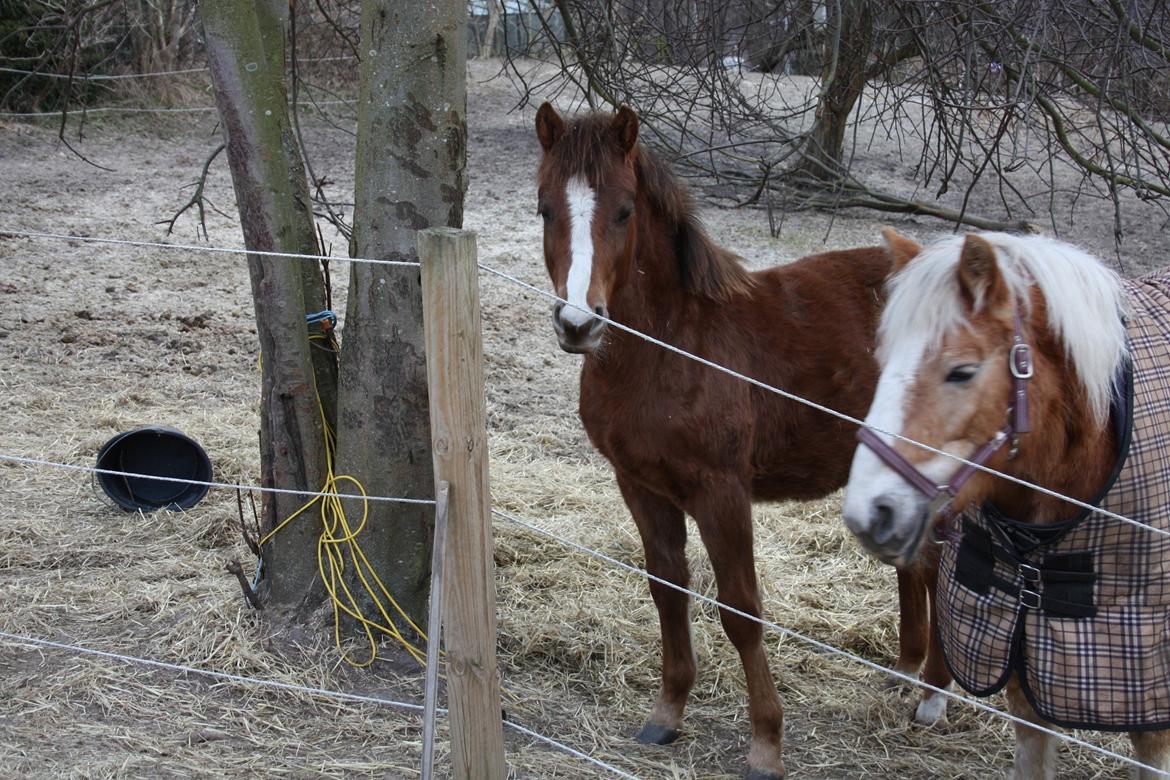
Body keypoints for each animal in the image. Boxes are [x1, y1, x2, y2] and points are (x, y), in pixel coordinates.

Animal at [538, 102, 950, 776]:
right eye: (545, 208)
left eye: (623, 211)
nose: (579, 324)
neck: (677, 345)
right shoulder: (640, 484)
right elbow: (667, 587)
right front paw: (667, 713)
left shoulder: (721, 491)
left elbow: (740, 608)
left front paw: (765, 742)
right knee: (917, 562)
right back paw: (906, 672)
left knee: (939, 563)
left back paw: (934, 697)